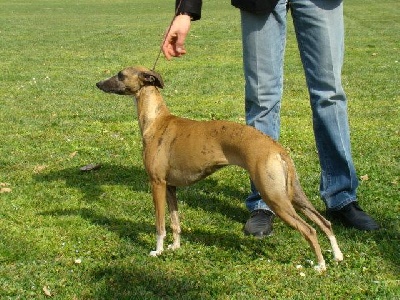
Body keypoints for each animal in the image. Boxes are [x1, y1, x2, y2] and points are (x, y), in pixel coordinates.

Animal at [95, 66, 342, 272]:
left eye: (120, 75)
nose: (98, 83)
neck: (157, 121)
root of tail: (277, 148)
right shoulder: (171, 187)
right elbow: (175, 222)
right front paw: (175, 247)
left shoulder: (157, 184)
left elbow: (160, 225)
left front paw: (158, 250)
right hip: (292, 194)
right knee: (324, 221)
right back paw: (337, 255)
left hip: (274, 197)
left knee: (309, 230)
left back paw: (320, 265)